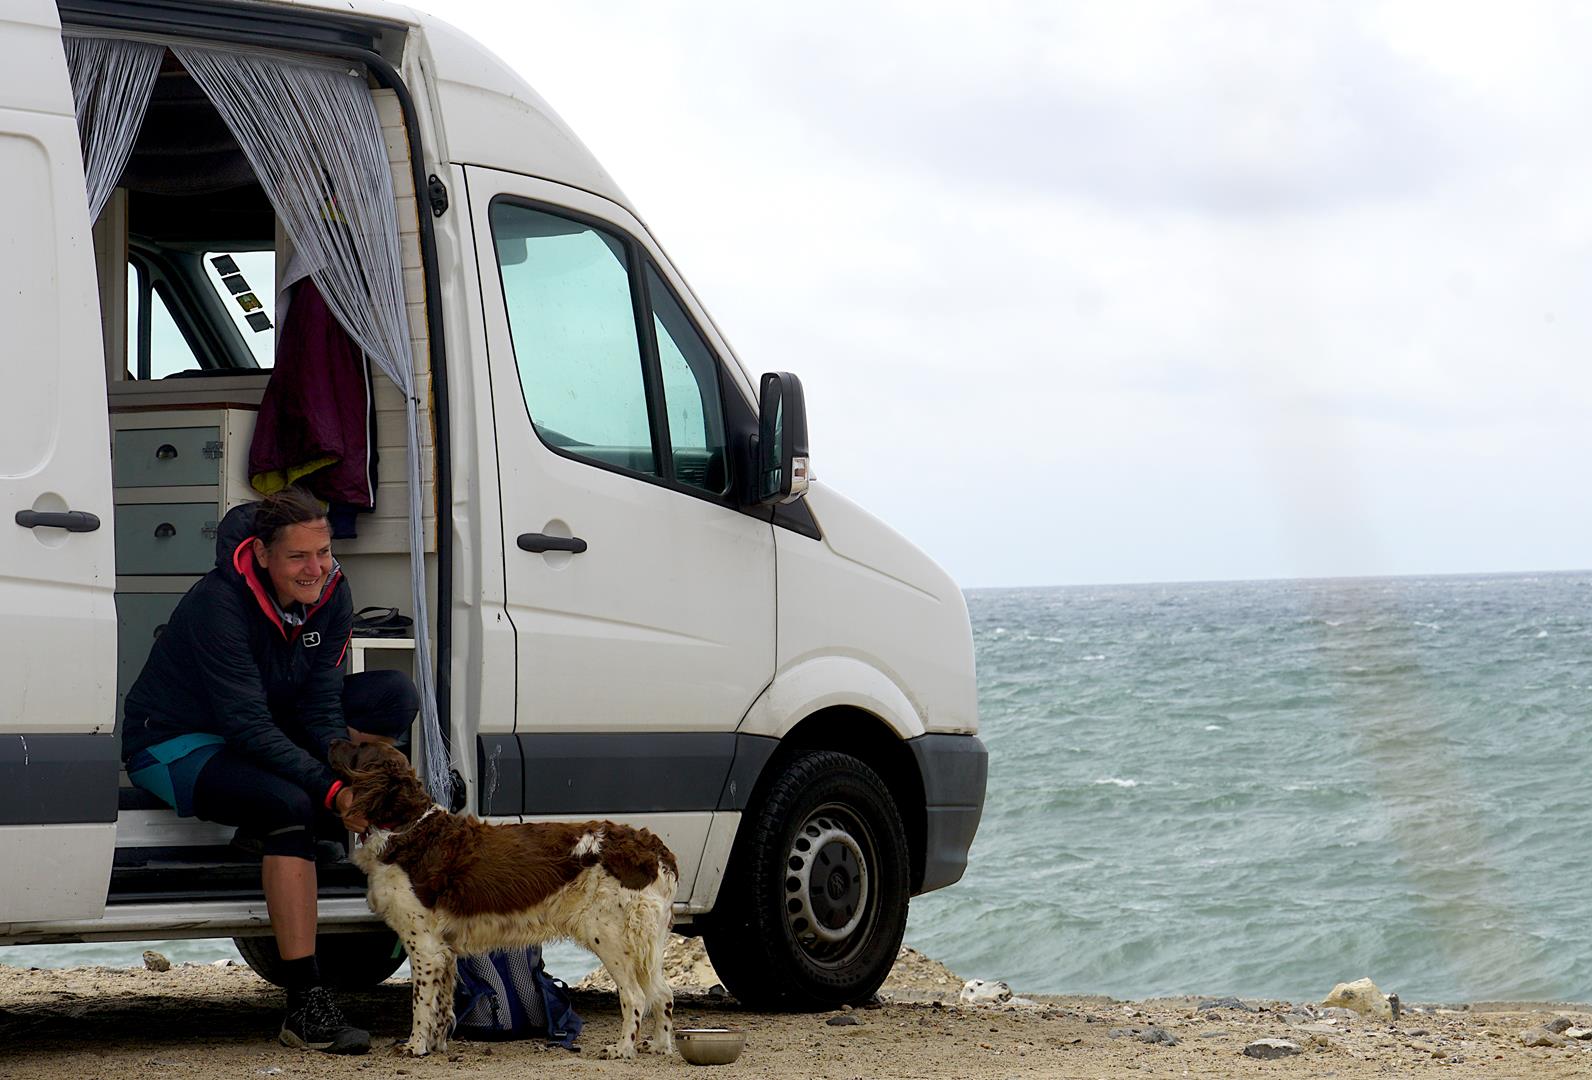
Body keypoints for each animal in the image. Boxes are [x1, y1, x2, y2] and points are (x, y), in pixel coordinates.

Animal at [329, 739, 678, 1064]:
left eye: (358, 745)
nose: (332, 741)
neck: (407, 827)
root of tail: (654, 848)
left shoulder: (425, 946)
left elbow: (421, 1004)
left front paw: (415, 1046)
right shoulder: (444, 950)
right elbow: (442, 1006)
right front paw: (437, 1045)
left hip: (608, 935)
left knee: (635, 996)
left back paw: (622, 1048)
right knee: (663, 993)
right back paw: (660, 1045)